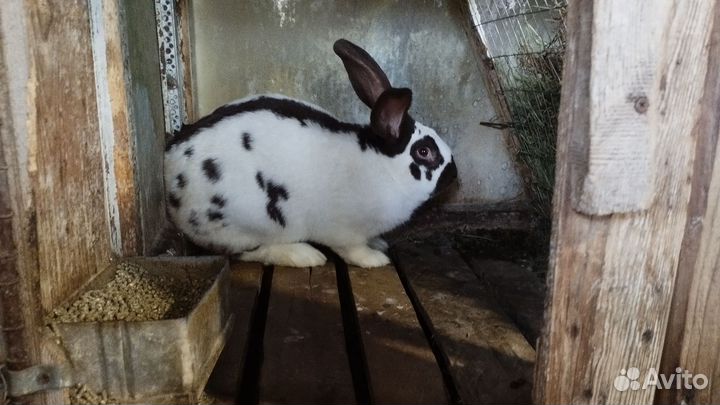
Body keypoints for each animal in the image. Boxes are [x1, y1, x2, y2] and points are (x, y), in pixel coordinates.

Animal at [164, 39, 457, 268]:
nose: (454, 175)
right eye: (424, 151)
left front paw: (380, 244)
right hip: (244, 223)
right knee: (249, 252)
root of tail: (168, 168)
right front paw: (376, 259)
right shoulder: (344, 233)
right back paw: (304, 255)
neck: (383, 167)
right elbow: (354, 251)